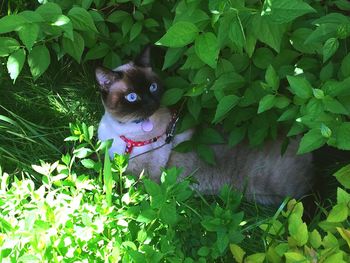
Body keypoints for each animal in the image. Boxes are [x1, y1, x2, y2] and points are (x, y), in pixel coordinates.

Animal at [94, 47, 314, 206]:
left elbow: (113, 182)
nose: (151, 104)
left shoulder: (144, 177)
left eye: (152, 87)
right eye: (132, 97)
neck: (123, 132)